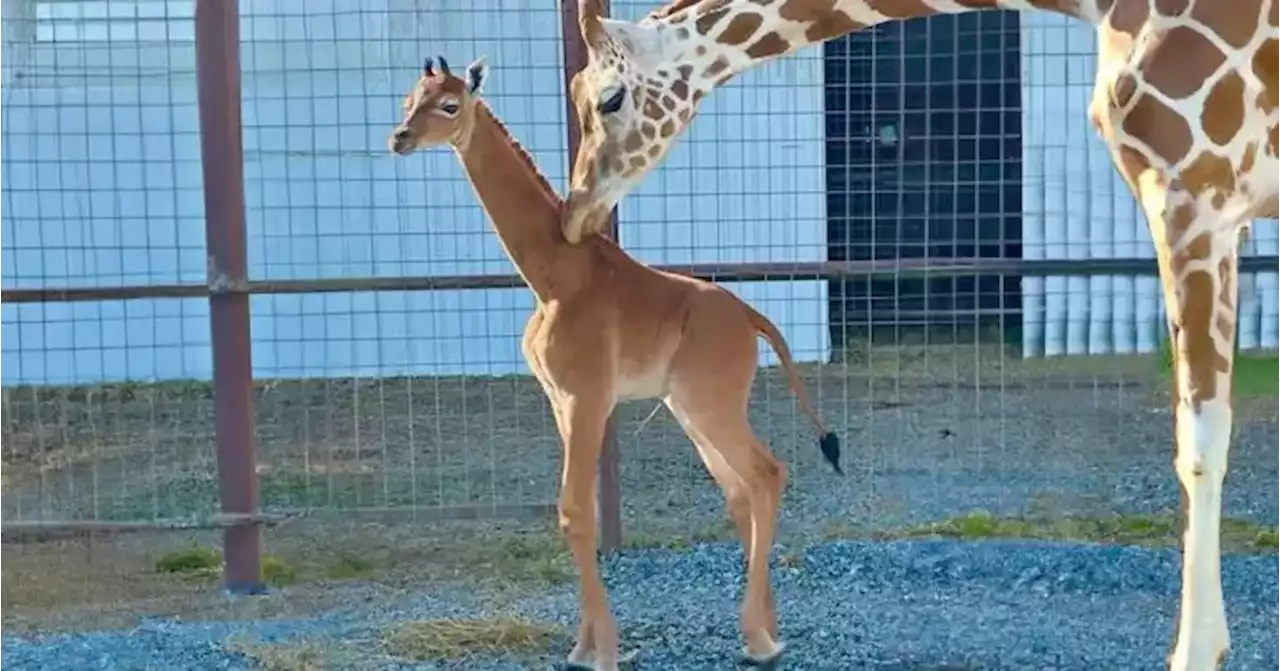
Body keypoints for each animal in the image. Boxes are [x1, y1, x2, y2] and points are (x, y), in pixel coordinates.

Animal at [384, 53, 844, 671]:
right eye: (409, 98)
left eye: (450, 104)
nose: (399, 138)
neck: (553, 277)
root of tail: (753, 318)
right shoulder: (560, 400)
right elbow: (581, 514)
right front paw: (583, 645)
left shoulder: (587, 396)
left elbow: (575, 510)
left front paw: (601, 651)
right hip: (689, 408)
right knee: (741, 489)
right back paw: (766, 631)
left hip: (711, 403)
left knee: (767, 474)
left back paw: (761, 638)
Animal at [565, 0, 1280, 665]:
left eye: (609, 98)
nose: (576, 215)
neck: (1105, 8)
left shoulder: (1193, 193)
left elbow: (1199, 441)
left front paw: (1198, 651)